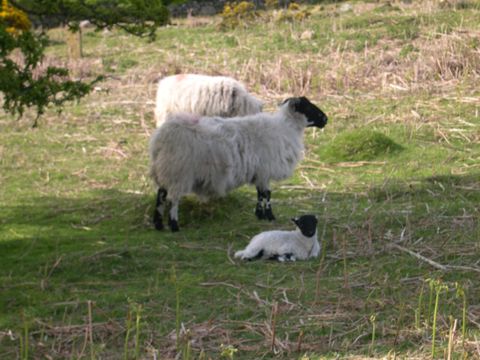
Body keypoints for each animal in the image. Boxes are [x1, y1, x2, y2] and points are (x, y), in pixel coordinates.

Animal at [150, 95, 328, 231]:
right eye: (308, 107)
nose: (326, 119)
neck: (286, 128)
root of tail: (161, 138)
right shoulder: (265, 170)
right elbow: (267, 194)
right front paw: (269, 216)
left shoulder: (260, 172)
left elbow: (260, 194)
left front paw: (259, 215)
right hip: (179, 171)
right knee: (173, 199)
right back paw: (174, 226)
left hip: (165, 170)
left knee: (161, 195)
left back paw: (158, 224)